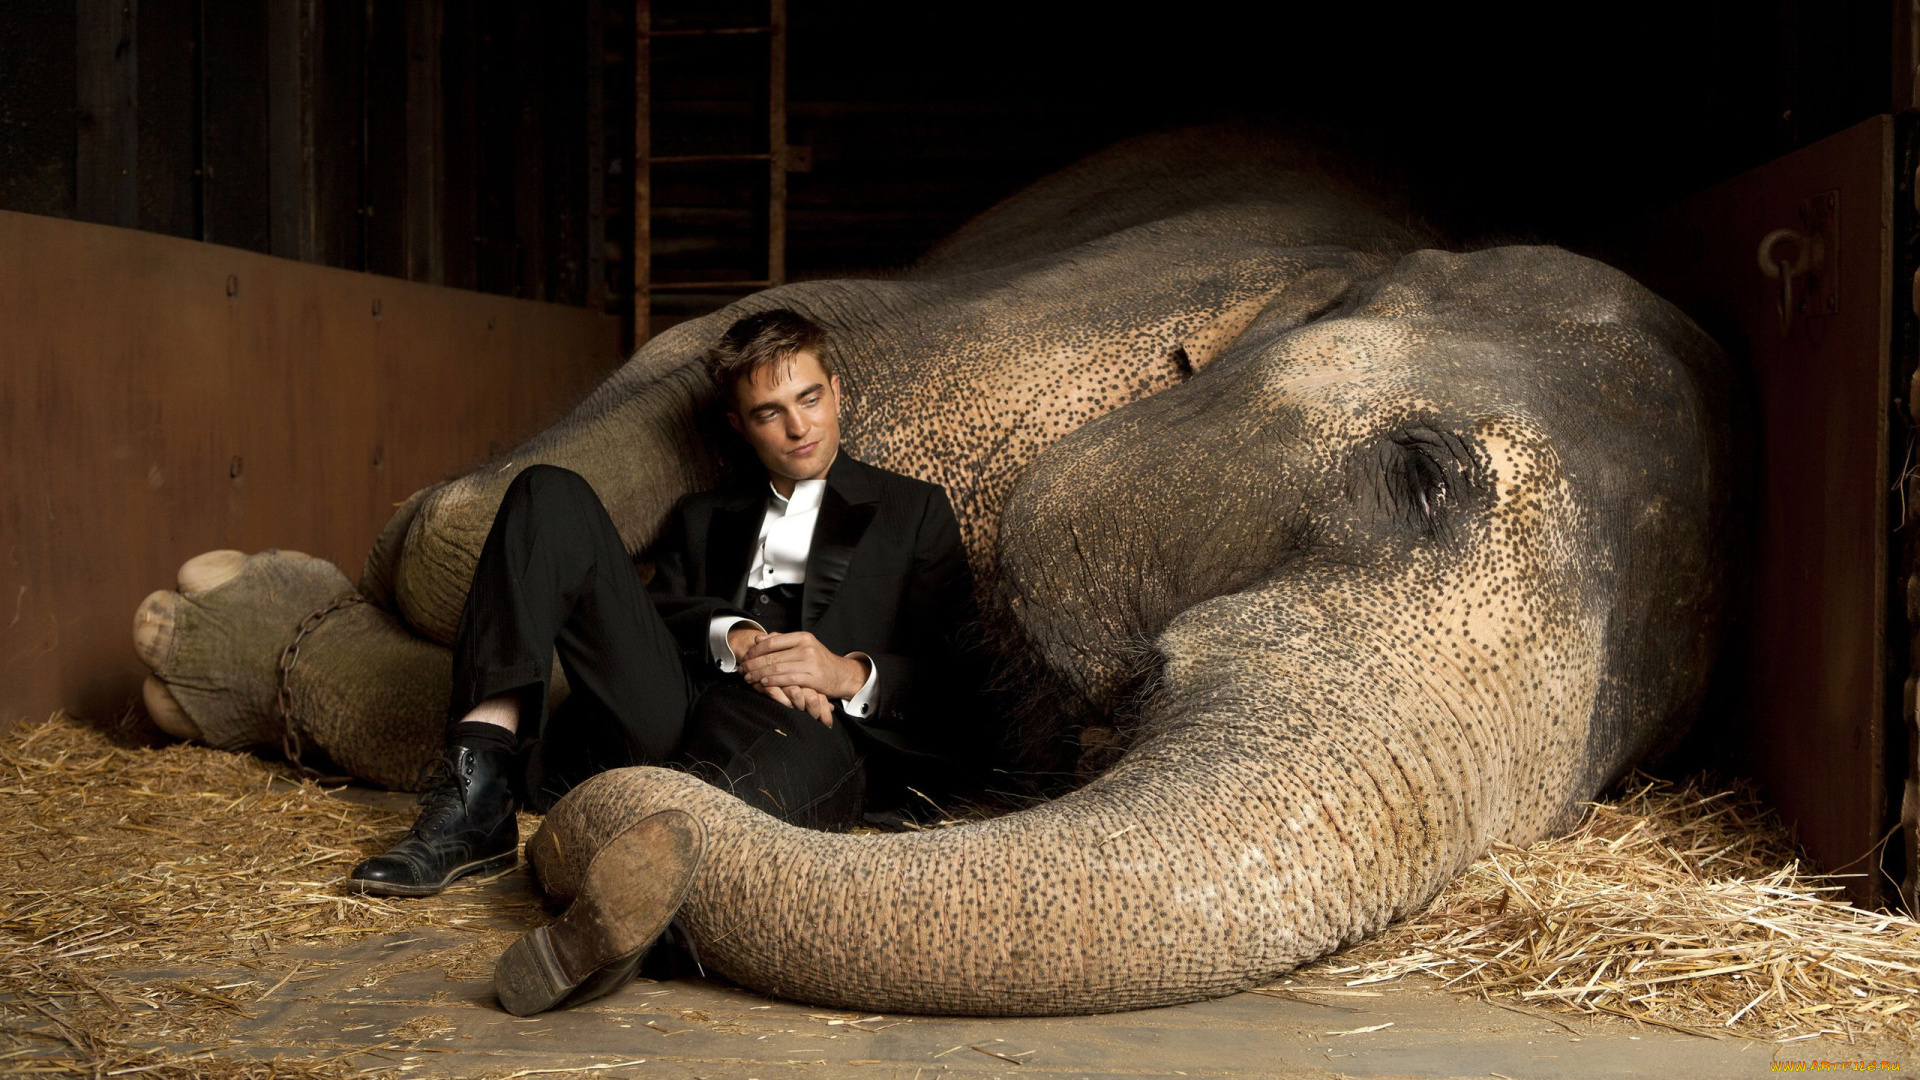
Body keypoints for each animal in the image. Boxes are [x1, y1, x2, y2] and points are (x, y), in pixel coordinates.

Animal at [131, 122, 1733, 1015]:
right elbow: (535, 480)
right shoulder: (995, 321)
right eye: (1421, 474)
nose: (603, 869)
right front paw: (225, 611)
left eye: (1621, 773)